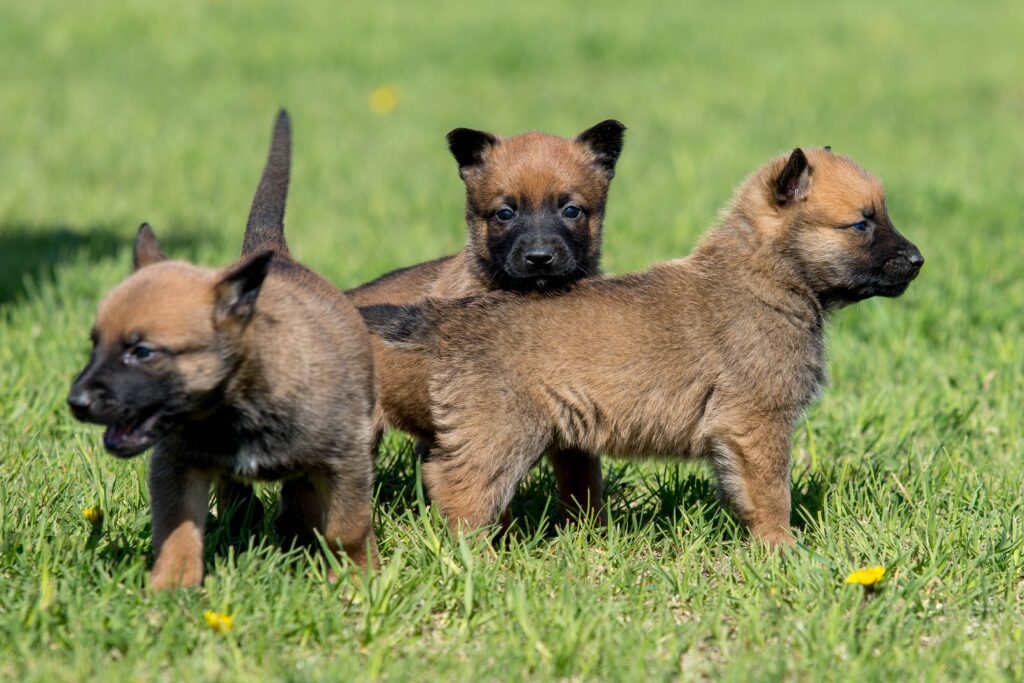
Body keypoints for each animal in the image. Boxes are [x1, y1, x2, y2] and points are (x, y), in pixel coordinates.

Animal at [69, 112, 380, 589]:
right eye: (94, 343)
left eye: (142, 352)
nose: (76, 402)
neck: (236, 404)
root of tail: (274, 254)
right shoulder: (177, 466)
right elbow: (177, 531)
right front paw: (171, 587)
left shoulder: (347, 459)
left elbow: (349, 527)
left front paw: (358, 579)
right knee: (244, 494)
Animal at [364, 147, 925, 548]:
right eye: (862, 223)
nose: (919, 260)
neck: (762, 276)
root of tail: (450, 316)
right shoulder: (758, 424)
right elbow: (772, 496)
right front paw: (783, 550)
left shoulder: (734, 437)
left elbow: (743, 491)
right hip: (502, 432)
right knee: (456, 487)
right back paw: (477, 557)